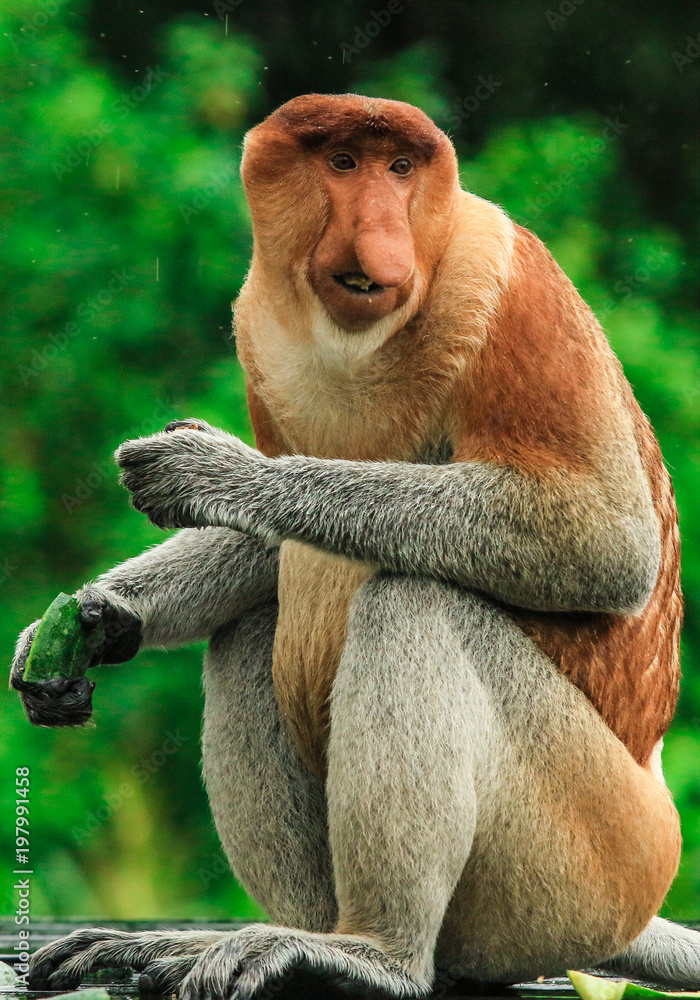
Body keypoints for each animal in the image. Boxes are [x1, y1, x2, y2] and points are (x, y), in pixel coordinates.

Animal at [12, 93, 700, 998]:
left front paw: (209, 470)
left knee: (414, 600)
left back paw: (370, 953)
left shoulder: (509, 288)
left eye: (399, 169)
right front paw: (91, 621)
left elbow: (604, 541)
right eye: (342, 162)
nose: (380, 238)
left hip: (594, 852)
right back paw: (265, 938)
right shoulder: (257, 322)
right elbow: (269, 554)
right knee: (252, 625)